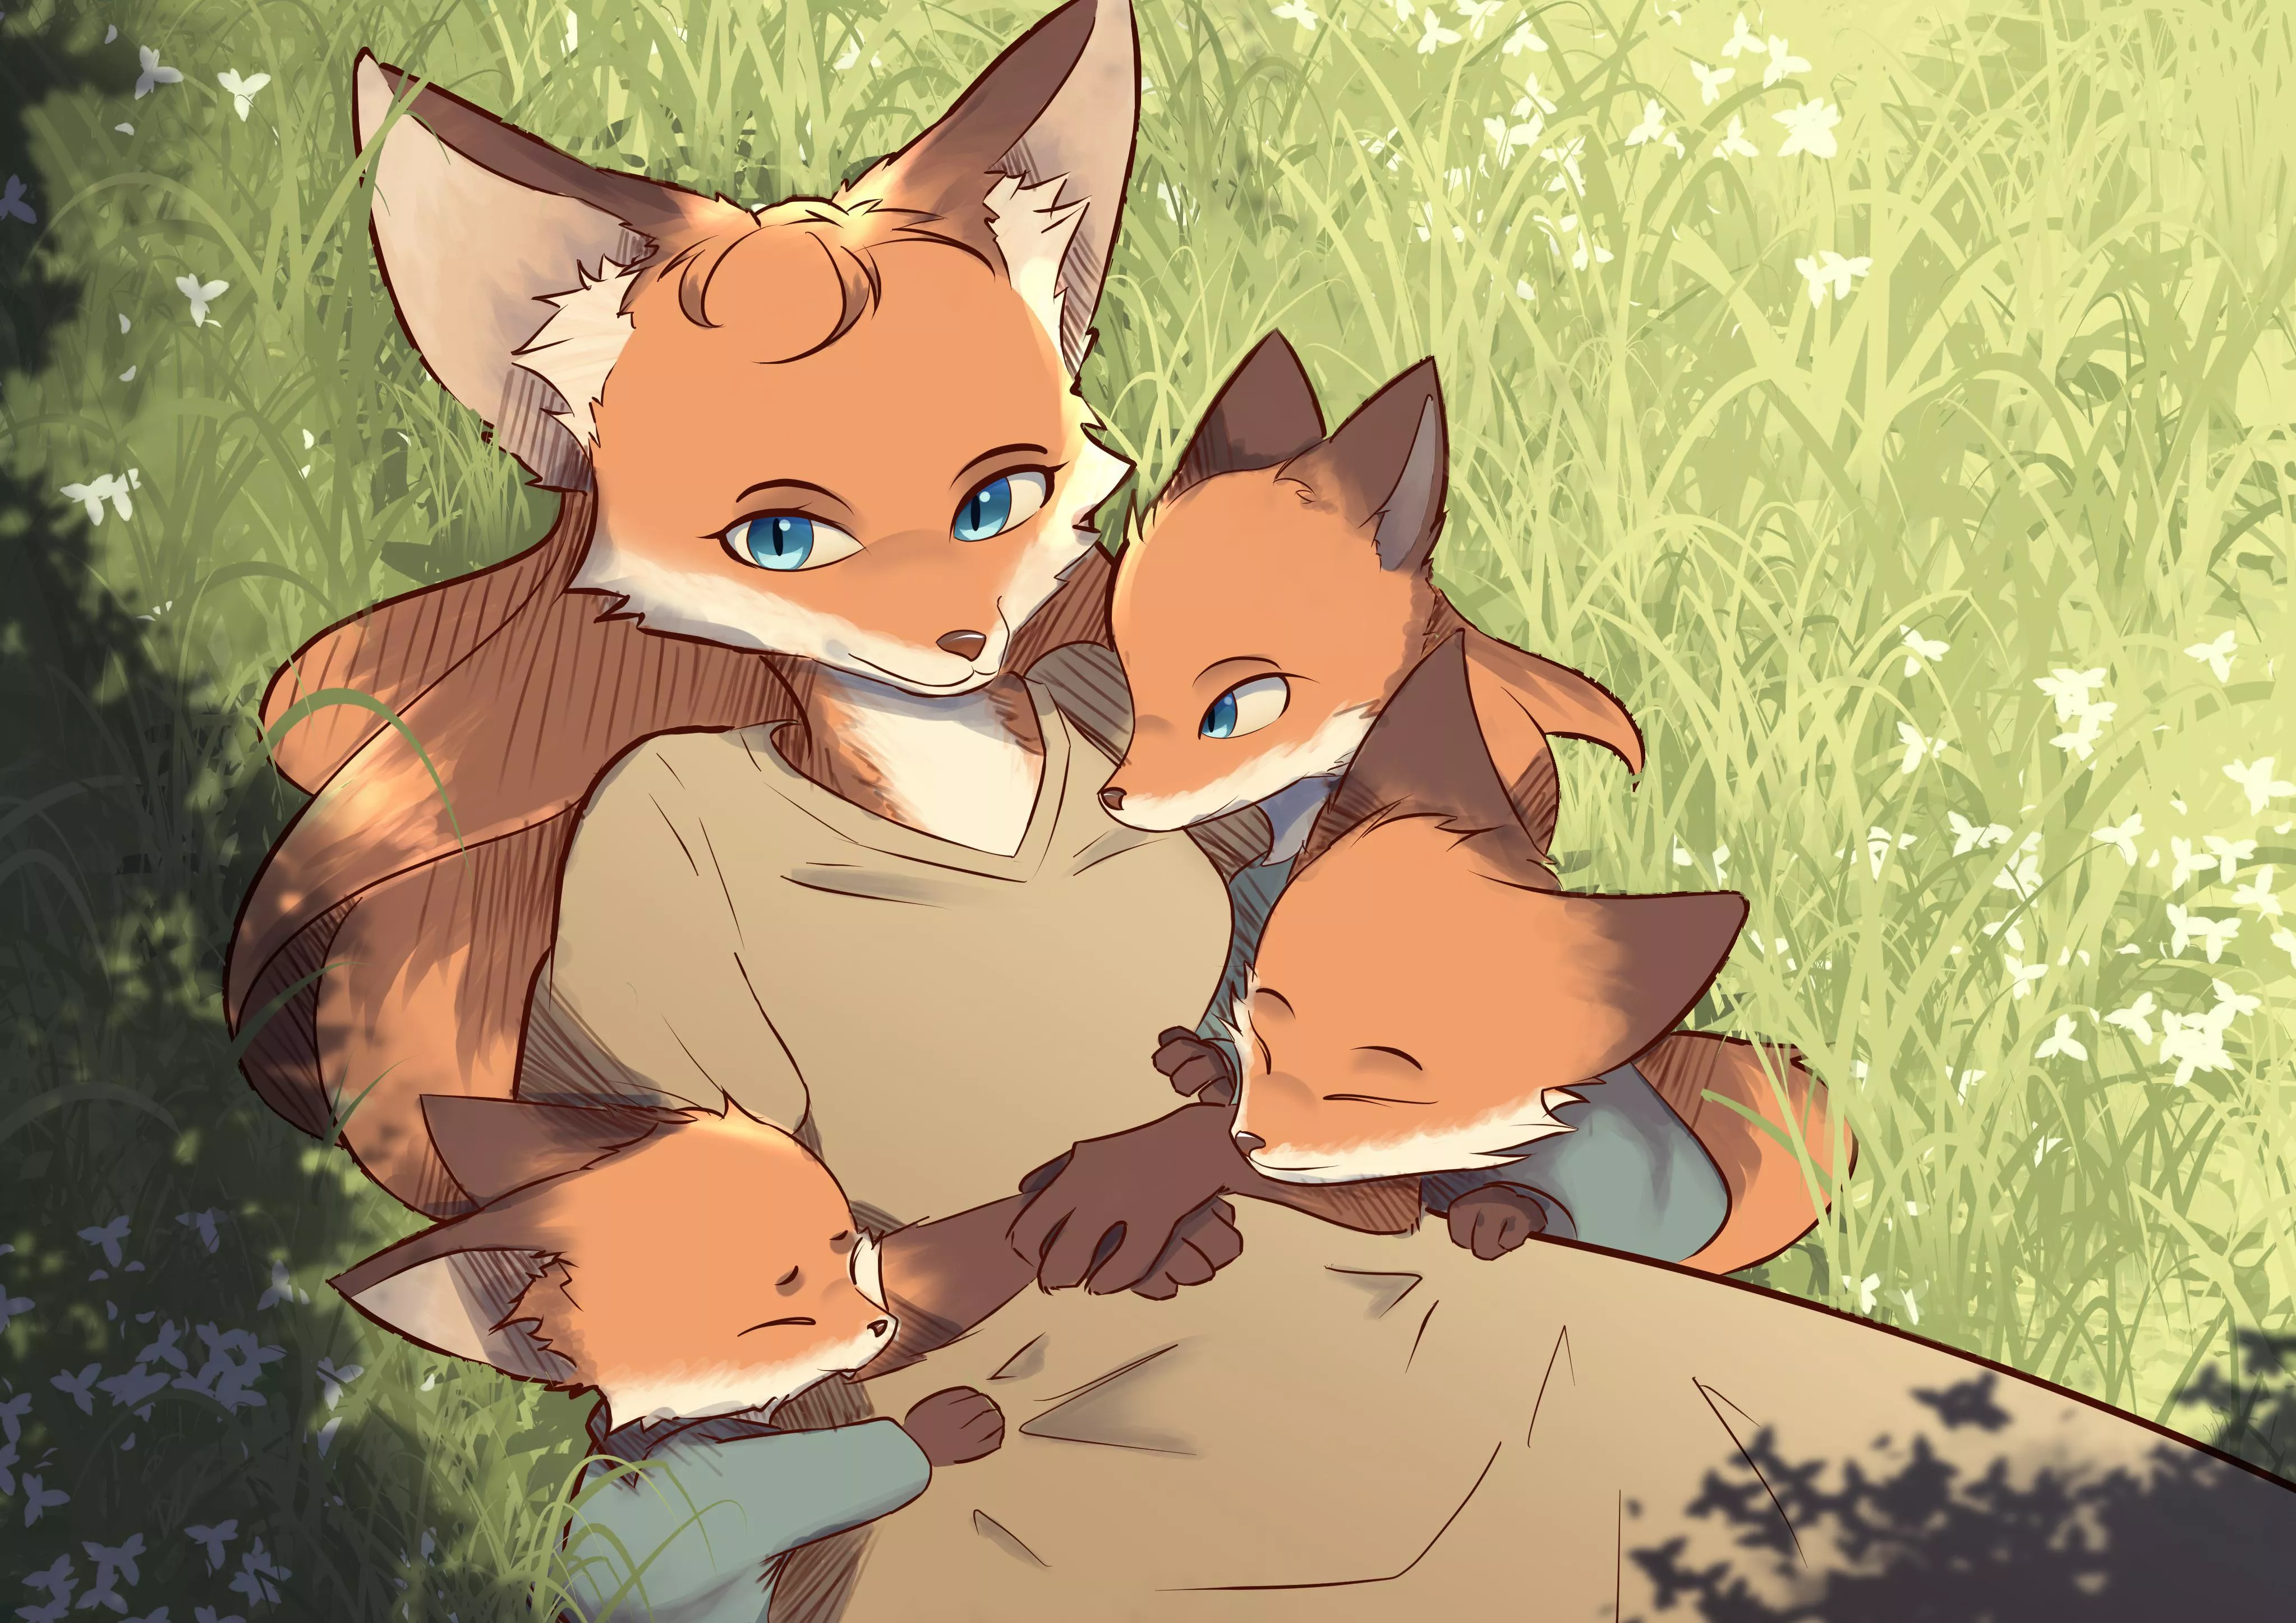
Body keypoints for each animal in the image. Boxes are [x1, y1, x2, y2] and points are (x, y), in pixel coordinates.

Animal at [333, 1094, 1244, 1620]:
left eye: (847, 1253)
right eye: (783, 1292)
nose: (879, 1324)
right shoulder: (658, 1512)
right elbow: (722, 1517)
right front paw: (950, 1424)